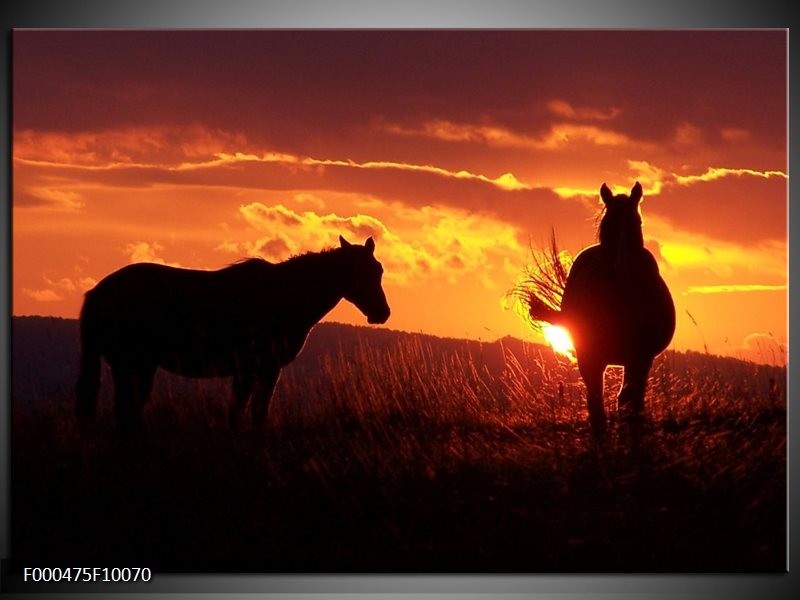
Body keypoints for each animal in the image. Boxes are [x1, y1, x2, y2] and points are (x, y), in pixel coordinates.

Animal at [76, 234, 390, 432]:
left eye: (378, 270)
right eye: (366, 272)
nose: (382, 313)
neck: (283, 295)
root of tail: (97, 292)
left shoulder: (257, 372)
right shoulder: (259, 369)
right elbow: (248, 414)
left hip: (133, 366)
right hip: (131, 364)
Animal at [536, 182, 676, 432]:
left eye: (636, 222)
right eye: (606, 225)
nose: (621, 265)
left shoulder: (640, 356)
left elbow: (628, 400)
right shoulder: (595, 356)